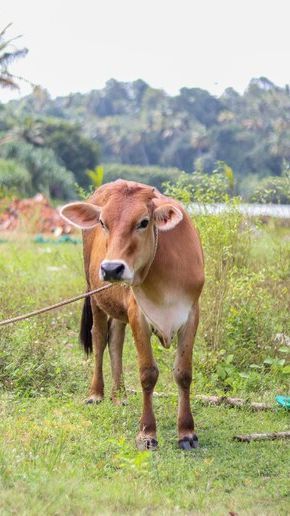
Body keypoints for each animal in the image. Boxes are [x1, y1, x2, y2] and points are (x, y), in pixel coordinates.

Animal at [61, 179, 204, 450]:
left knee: (115, 339)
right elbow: (148, 373)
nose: (111, 268)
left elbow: (183, 373)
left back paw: (119, 395)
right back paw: (96, 393)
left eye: (144, 222)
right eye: (103, 223)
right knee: (99, 338)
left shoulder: (191, 314)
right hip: (95, 294)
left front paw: (187, 433)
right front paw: (147, 433)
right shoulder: (138, 314)